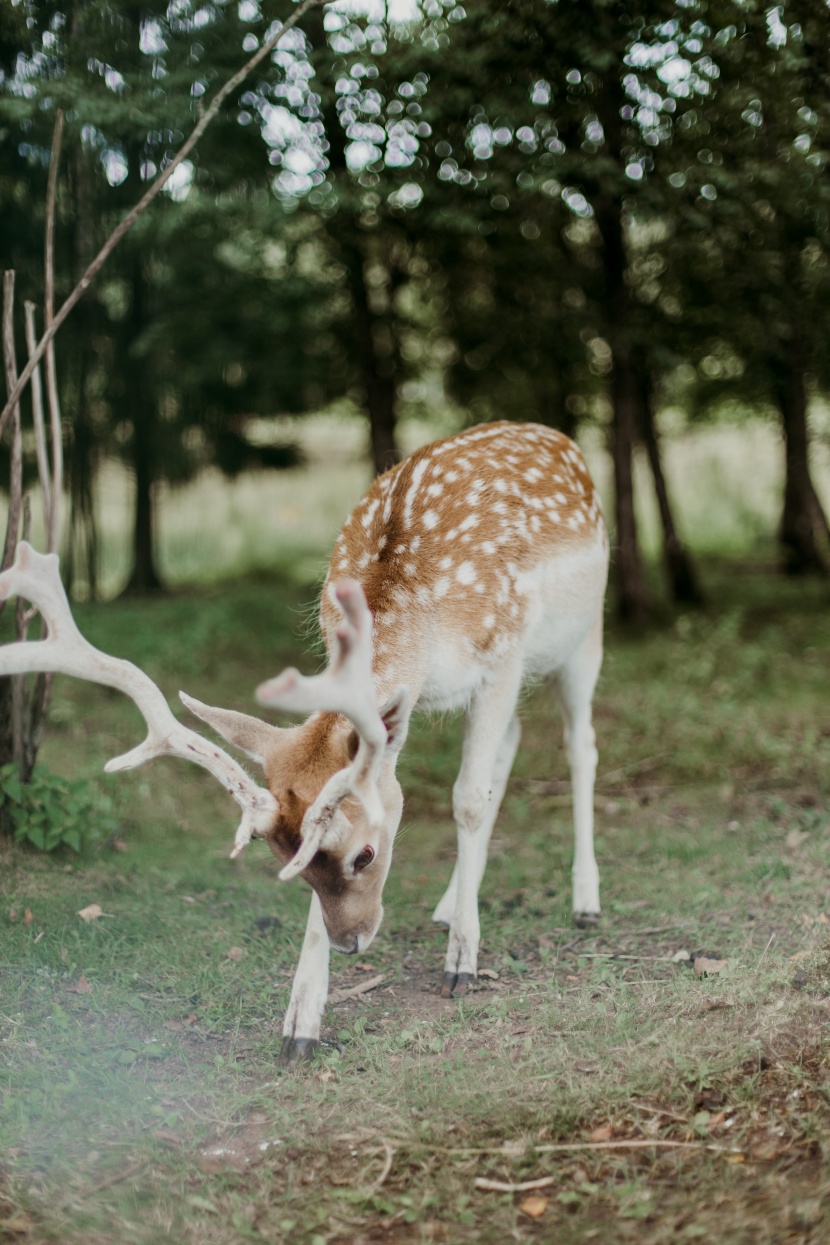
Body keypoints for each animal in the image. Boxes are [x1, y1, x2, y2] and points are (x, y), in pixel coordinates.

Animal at [0, 420, 609, 1060]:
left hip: (582, 634)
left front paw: (462, 964)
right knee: (512, 741)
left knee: (579, 743)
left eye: (366, 853)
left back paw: (584, 902)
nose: (351, 942)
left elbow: (466, 798)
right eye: (286, 859)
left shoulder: (502, 657)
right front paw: (302, 1020)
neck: (427, 620)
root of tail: (555, 437)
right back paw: (449, 903)